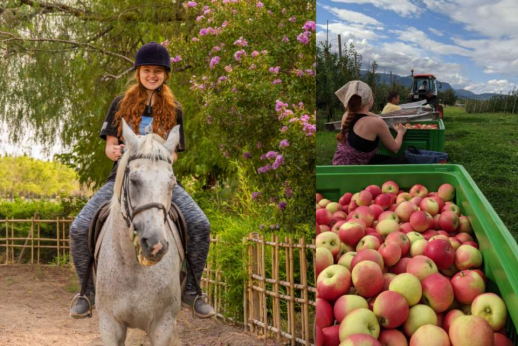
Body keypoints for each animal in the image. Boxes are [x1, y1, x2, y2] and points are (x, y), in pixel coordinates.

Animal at [96, 119, 184, 346]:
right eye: (134, 180)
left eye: (172, 183)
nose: (155, 244)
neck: (134, 270)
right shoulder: (109, 324)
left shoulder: (163, 326)